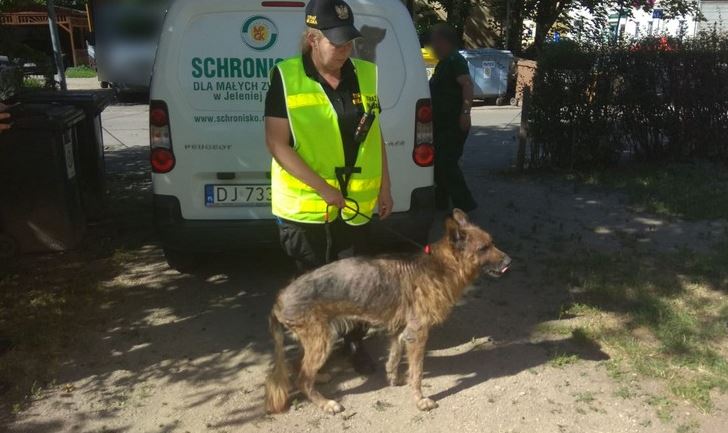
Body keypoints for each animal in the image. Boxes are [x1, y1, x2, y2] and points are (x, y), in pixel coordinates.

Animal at [264, 211, 510, 414]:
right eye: (483, 248)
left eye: (492, 243)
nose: (509, 260)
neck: (441, 266)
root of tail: (279, 299)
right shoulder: (417, 334)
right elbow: (417, 372)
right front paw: (420, 400)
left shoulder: (401, 331)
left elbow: (394, 357)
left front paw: (394, 379)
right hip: (322, 340)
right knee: (303, 379)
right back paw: (325, 403)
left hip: (316, 340)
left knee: (298, 365)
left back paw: (320, 376)